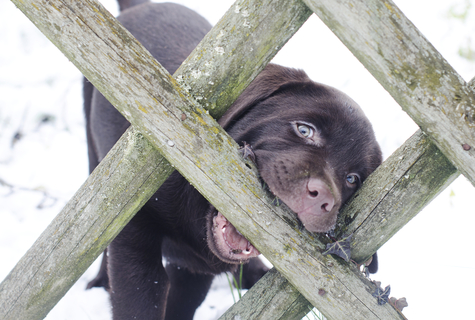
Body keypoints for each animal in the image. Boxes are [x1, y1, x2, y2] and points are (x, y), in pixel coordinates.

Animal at [84, 1, 384, 318]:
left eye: (352, 179)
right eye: (304, 130)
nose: (322, 198)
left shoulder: (194, 272)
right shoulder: (135, 237)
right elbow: (138, 301)